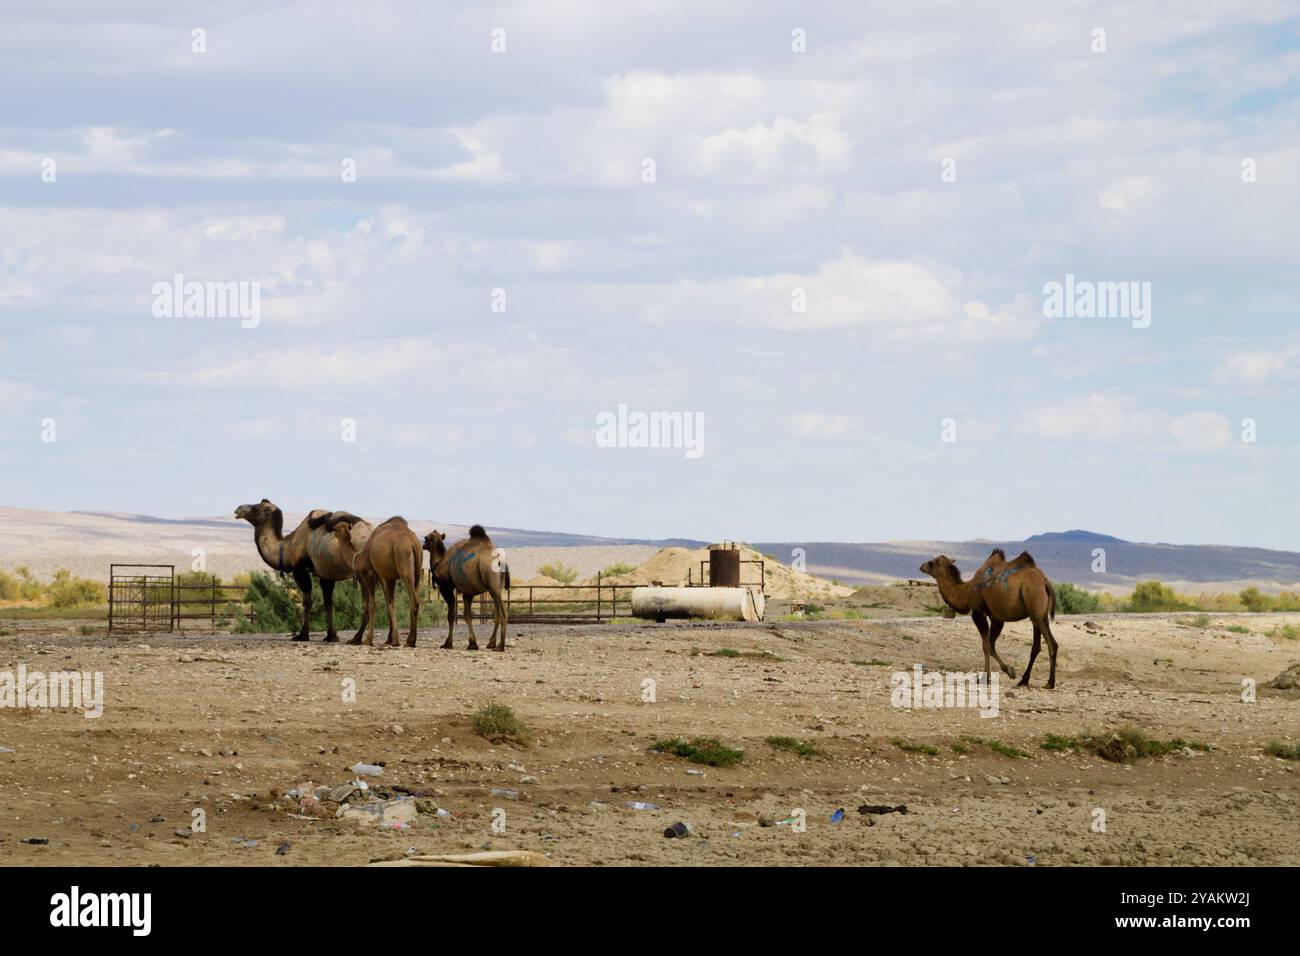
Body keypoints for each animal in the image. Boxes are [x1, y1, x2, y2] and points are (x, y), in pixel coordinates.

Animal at [235, 502, 371, 642]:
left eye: (256, 508)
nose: (238, 509)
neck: (287, 547)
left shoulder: (299, 569)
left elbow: (307, 601)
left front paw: (302, 635)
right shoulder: (325, 574)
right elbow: (328, 602)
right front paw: (331, 636)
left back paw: (357, 638)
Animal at [920, 548, 1060, 691]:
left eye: (931, 563)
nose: (921, 566)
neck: (966, 591)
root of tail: (1045, 583)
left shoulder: (978, 613)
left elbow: (986, 646)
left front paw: (984, 678)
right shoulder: (997, 618)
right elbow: (992, 645)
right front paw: (1010, 671)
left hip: (1036, 606)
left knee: (1052, 643)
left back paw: (1050, 682)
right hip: (1036, 615)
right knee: (1036, 646)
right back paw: (1023, 680)